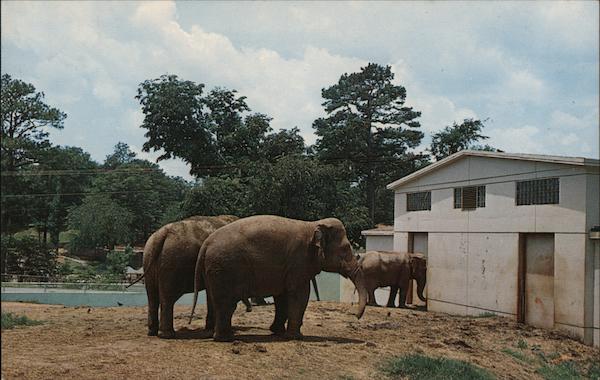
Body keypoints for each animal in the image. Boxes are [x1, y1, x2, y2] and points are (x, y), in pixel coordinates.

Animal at [192, 215, 368, 342]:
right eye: (345, 248)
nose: (356, 316)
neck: (313, 224)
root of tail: (206, 243)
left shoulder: (286, 268)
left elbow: (282, 296)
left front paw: (277, 332)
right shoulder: (299, 261)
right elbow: (300, 295)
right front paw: (296, 337)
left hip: (214, 271)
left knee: (215, 300)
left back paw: (221, 336)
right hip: (225, 269)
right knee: (227, 303)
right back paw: (226, 339)